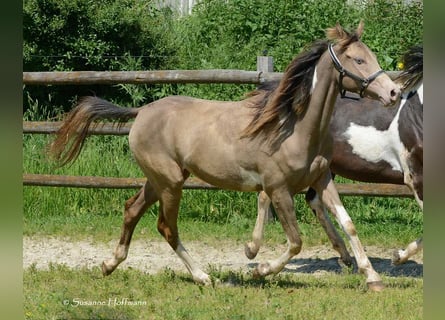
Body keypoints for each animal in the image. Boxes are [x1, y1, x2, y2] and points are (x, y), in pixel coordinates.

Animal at [49, 21, 398, 292]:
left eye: (370, 56)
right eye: (358, 59)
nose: (392, 92)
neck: (294, 127)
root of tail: (142, 112)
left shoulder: (323, 179)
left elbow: (349, 225)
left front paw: (373, 278)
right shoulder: (278, 188)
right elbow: (296, 241)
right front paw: (260, 269)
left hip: (159, 180)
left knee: (132, 210)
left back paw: (109, 264)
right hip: (170, 183)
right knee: (166, 227)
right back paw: (203, 277)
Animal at [246, 43, 424, 266]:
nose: (393, 92)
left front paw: (398, 256)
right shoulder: (416, 178)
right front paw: (398, 257)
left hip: (321, 167)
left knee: (312, 200)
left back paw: (345, 255)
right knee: (266, 195)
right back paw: (252, 249)